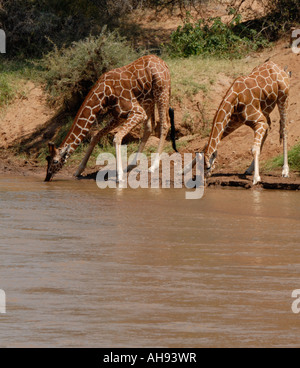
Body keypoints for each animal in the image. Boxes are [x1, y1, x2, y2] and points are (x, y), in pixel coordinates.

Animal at [44, 54, 176, 182]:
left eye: (55, 161)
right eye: (47, 159)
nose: (47, 177)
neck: (103, 95)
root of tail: (164, 64)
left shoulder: (138, 112)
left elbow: (117, 137)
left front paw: (120, 176)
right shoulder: (119, 115)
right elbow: (96, 136)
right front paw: (78, 170)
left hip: (161, 91)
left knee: (165, 124)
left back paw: (153, 166)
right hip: (149, 99)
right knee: (149, 126)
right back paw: (131, 165)